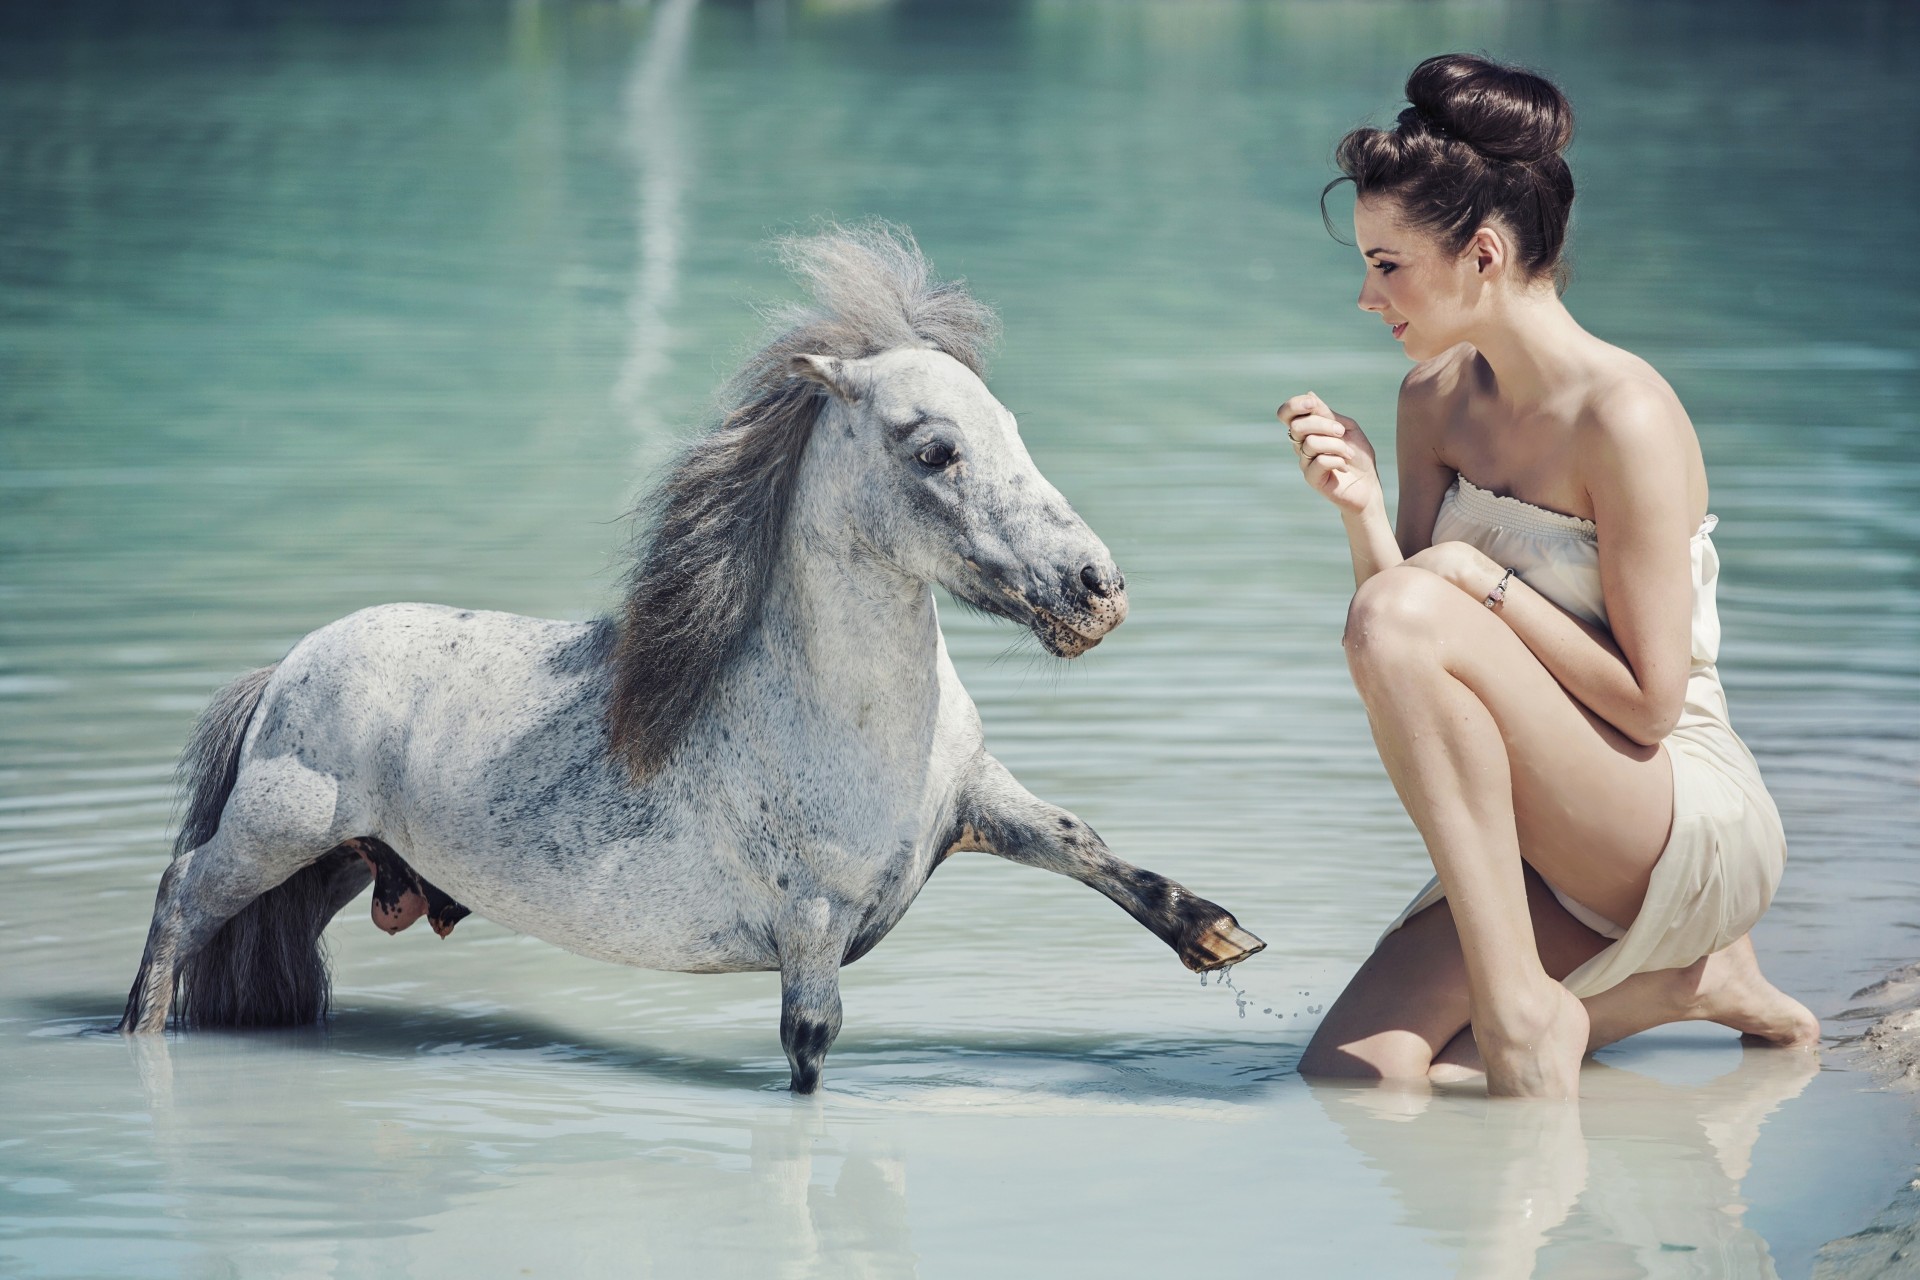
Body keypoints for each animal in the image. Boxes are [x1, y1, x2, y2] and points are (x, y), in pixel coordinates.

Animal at [116, 224, 1265, 1093]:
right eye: (936, 449)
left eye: (1013, 428)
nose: (1096, 589)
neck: (848, 721)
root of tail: (285, 670)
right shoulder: (812, 938)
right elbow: (809, 1059)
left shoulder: (975, 802)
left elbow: (1083, 842)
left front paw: (1219, 937)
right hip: (273, 835)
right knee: (179, 896)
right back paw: (138, 1028)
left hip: (336, 864)